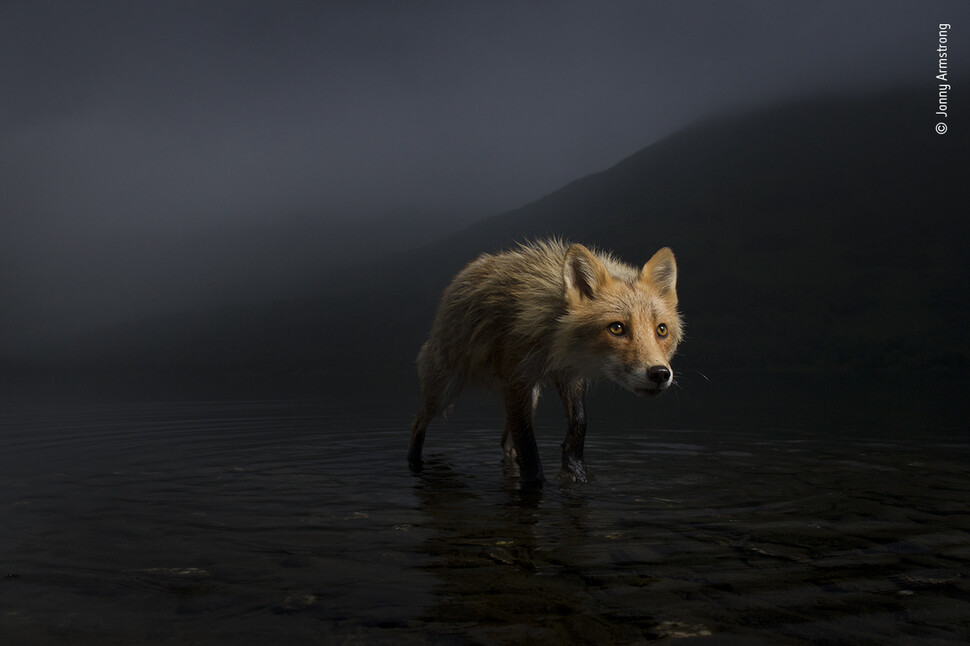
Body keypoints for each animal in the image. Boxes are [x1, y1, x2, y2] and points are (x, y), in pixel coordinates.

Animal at [402, 238, 680, 486]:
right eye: (617, 328)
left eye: (662, 330)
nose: (659, 373)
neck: (554, 341)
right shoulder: (517, 379)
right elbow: (528, 445)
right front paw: (536, 482)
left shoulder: (568, 374)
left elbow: (578, 424)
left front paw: (575, 471)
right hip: (444, 390)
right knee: (418, 420)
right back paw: (413, 463)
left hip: (531, 396)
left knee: (506, 442)